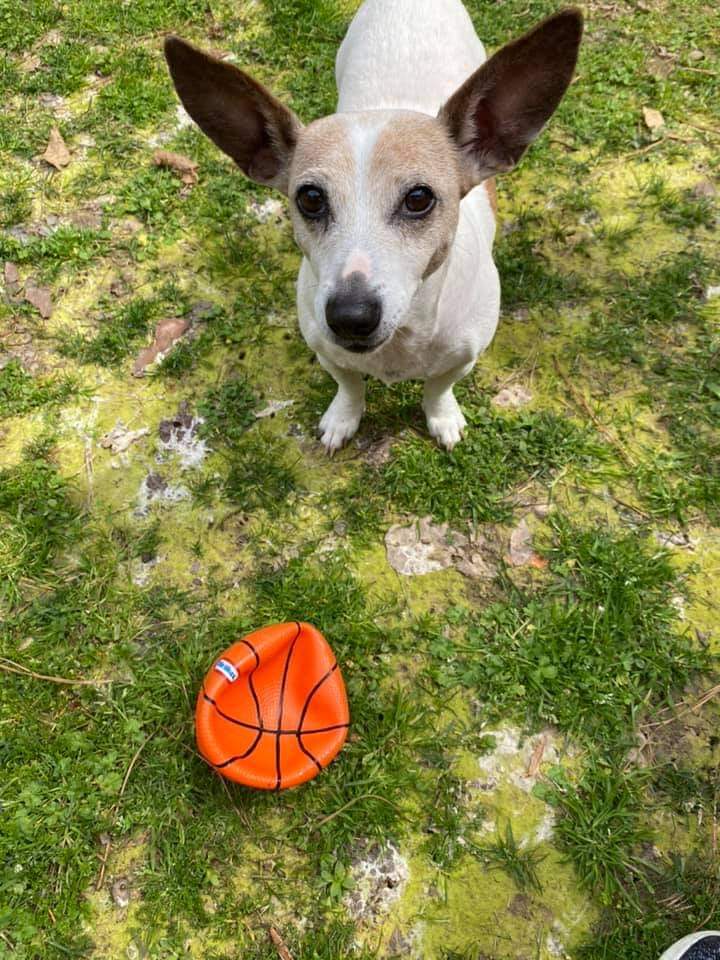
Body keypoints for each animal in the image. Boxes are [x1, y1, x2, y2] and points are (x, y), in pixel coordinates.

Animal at [166, 0, 584, 454]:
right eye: (310, 199)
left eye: (418, 198)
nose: (350, 316)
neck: (404, 336)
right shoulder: (326, 350)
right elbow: (349, 385)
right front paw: (343, 418)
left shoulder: (463, 357)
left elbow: (438, 388)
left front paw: (442, 417)